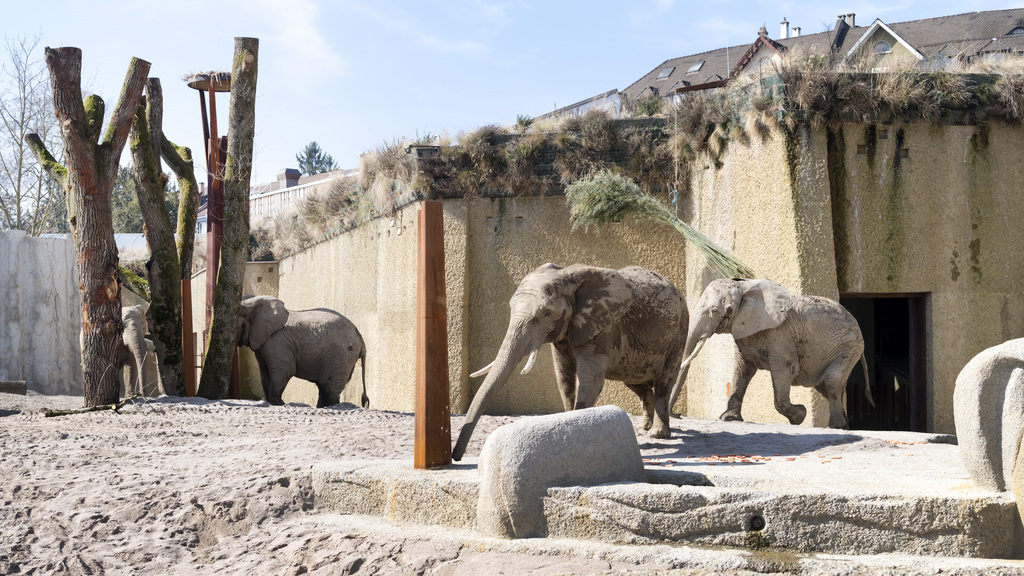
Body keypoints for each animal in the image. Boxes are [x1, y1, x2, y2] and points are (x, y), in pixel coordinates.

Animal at [237, 295, 370, 407]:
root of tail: (361, 339)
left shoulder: (278, 341)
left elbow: (285, 369)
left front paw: (280, 403)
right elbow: (264, 373)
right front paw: (273, 402)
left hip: (341, 355)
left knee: (330, 388)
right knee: (323, 386)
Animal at [454, 262, 688, 459]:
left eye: (547, 313)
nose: (456, 456)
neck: (568, 277)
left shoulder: (603, 325)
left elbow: (590, 379)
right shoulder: (568, 330)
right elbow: (564, 376)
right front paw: (566, 426)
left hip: (680, 330)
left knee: (664, 382)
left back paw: (658, 433)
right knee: (636, 382)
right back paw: (643, 428)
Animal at [671, 276, 872, 428]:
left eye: (714, 311)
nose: (677, 415)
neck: (745, 287)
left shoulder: (781, 335)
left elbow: (785, 369)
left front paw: (800, 415)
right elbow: (742, 370)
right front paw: (729, 418)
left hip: (849, 346)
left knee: (831, 381)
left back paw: (835, 426)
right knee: (826, 385)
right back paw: (844, 426)